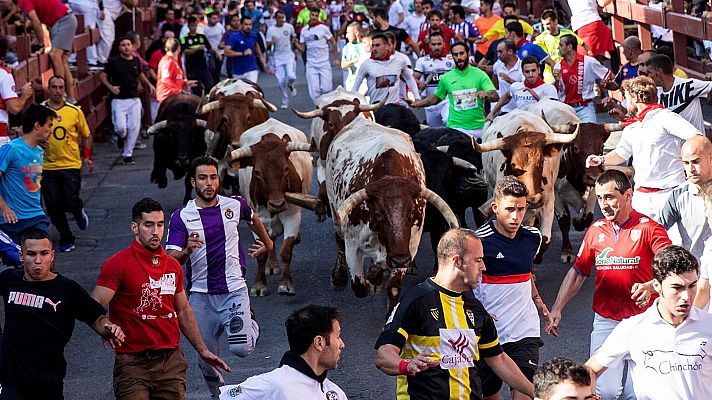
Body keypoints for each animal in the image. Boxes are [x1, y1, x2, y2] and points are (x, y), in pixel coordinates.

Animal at [227, 119, 312, 296]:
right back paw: (272, 266)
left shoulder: (293, 216)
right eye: (257, 172)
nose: (277, 204)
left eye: (286, 168)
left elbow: (286, 251)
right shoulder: (255, 218)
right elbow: (262, 252)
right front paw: (259, 285)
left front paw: (286, 284)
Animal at [326, 117, 458, 310]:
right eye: (379, 215)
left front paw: (376, 278)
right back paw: (339, 278)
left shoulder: (409, 247)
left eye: (412, 214)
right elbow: (359, 286)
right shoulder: (353, 244)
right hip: (332, 204)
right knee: (338, 240)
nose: (400, 260)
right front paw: (370, 283)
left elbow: (394, 288)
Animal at [478, 110, 580, 262]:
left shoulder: (548, 202)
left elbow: (544, 239)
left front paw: (537, 257)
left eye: (541, 162)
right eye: (513, 165)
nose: (533, 200)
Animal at [524, 98, 624, 262]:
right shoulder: (554, 194)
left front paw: (577, 223)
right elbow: (564, 220)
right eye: (576, 148)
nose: (593, 176)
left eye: (601, 146)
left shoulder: (594, 190)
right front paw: (567, 250)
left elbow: (588, 217)